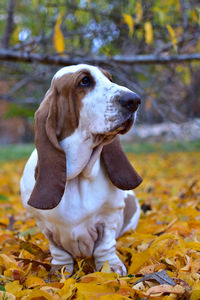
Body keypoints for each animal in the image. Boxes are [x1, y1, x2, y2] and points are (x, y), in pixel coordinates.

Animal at [19, 64, 142, 276]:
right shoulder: (44, 225)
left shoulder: (109, 217)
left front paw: (111, 268)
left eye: (110, 78)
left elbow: (105, 246)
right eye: (84, 81)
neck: (76, 177)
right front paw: (59, 271)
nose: (134, 100)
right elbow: (58, 251)